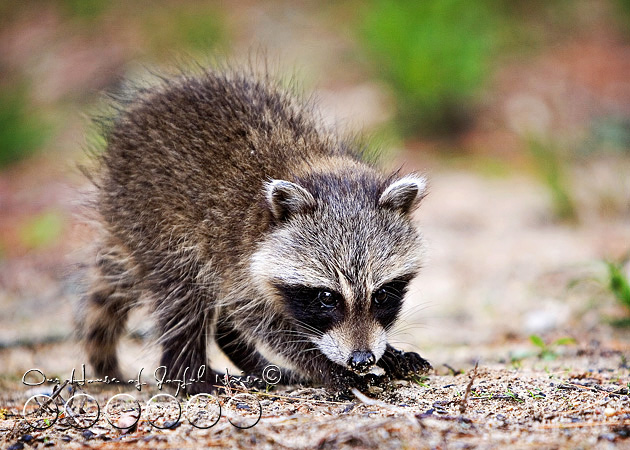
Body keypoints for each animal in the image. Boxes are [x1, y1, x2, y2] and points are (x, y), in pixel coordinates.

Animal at [79, 67, 432, 394]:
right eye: (327, 298)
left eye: (382, 294)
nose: (361, 359)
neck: (308, 164)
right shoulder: (238, 256)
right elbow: (269, 326)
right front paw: (324, 365)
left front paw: (389, 352)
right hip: (153, 223)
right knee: (184, 296)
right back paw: (191, 374)